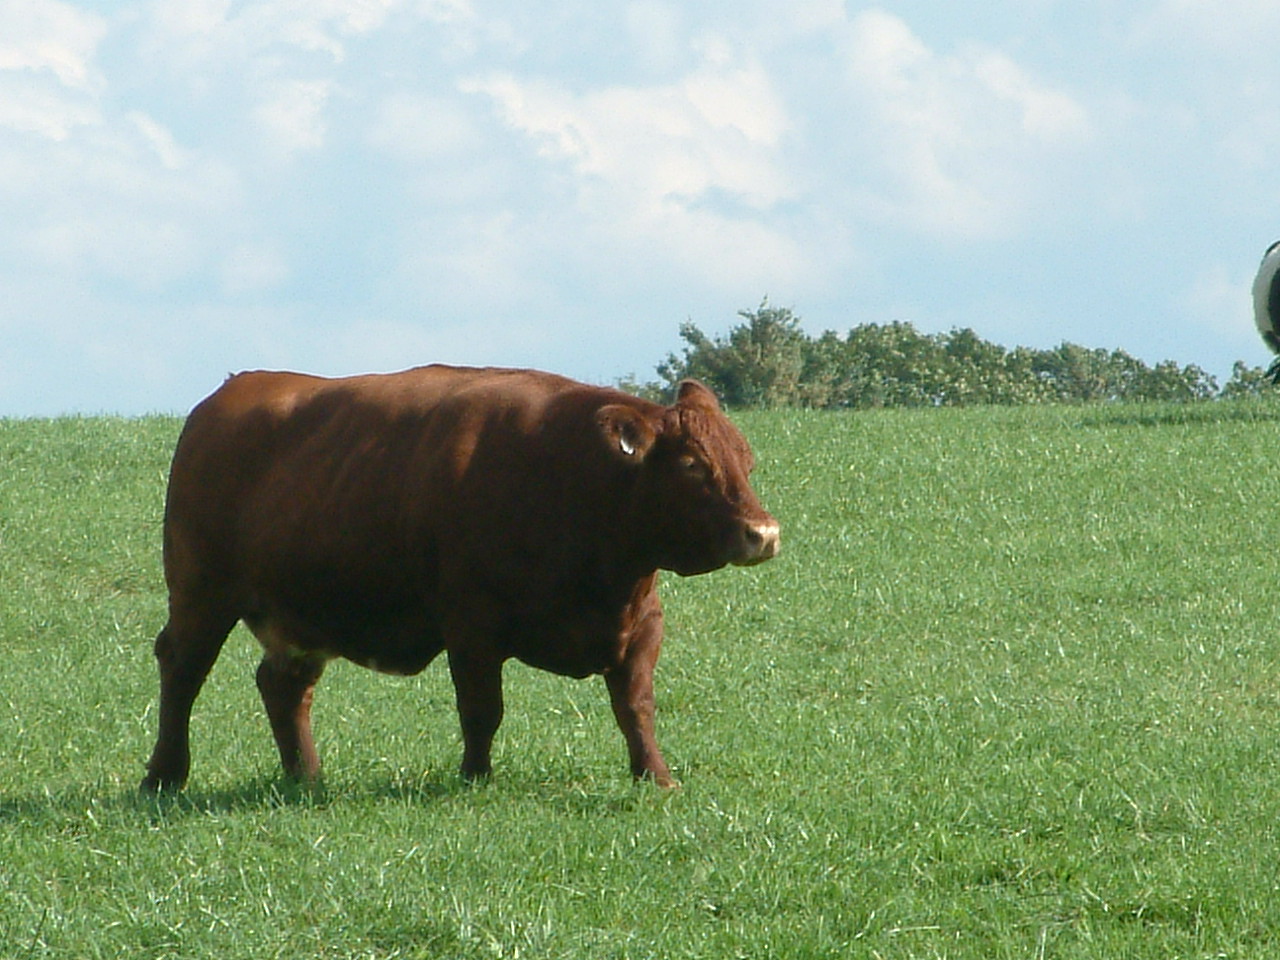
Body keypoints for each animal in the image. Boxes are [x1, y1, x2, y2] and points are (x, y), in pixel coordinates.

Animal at [141, 363, 778, 793]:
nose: (764, 532)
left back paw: (308, 778)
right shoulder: (472, 625)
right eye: (693, 465)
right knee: (182, 669)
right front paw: (476, 777)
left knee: (283, 685)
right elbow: (481, 707)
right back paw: (164, 776)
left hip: (297, 617)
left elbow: (636, 707)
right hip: (201, 592)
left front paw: (656, 777)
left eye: (746, 461)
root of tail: (231, 391)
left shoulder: (643, 625)